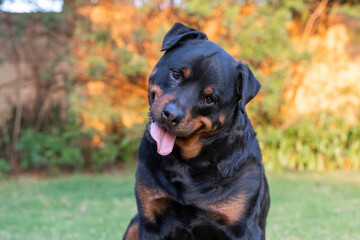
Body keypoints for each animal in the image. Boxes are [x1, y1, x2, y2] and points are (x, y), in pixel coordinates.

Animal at [124, 23, 270, 240]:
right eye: (176, 74)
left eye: (209, 99)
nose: (171, 115)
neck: (186, 164)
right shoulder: (149, 220)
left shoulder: (244, 228)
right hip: (134, 224)